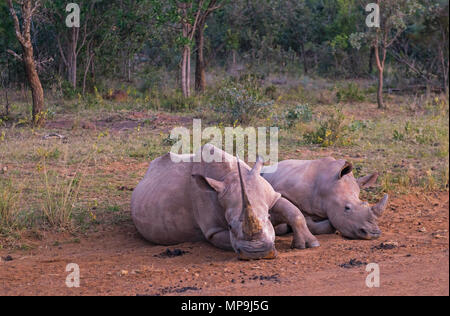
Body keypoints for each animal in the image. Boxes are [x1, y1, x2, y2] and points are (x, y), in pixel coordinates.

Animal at [131, 144, 320, 260]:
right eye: (229, 226)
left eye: (267, 217)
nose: (257, 253)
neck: (231, 175)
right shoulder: (212, 230)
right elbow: (227, 240)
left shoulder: (271, 195)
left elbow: (294, 212)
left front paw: (309, 244)